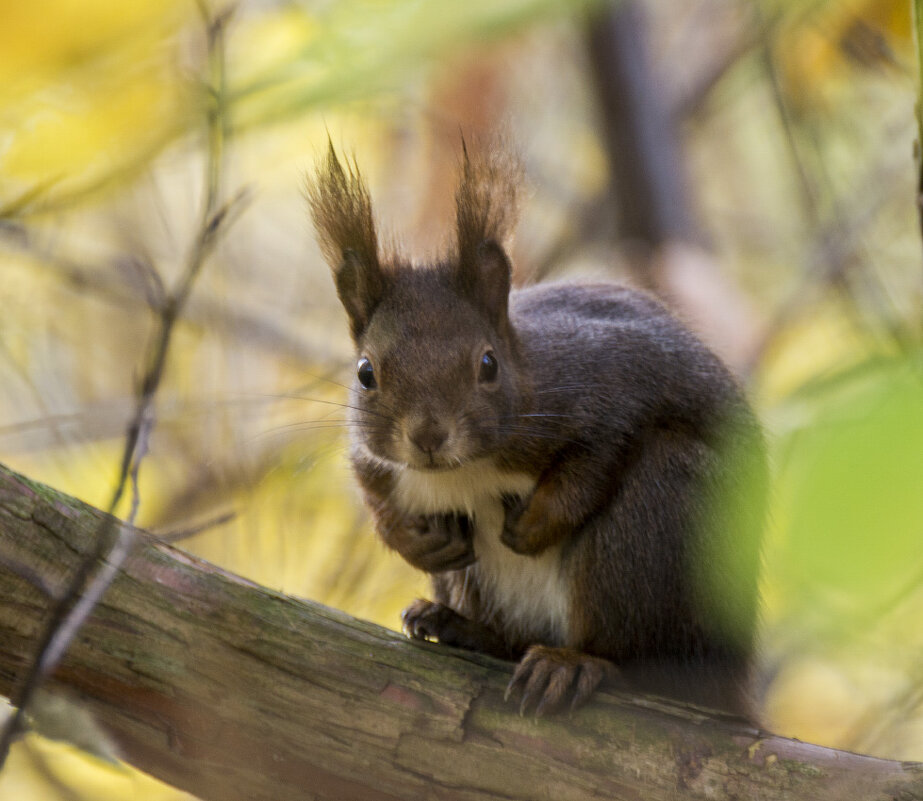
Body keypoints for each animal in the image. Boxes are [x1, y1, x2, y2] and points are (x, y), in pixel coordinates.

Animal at [306, 141, 768, 716]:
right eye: (365, 373)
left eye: (488, 364)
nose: (429, 437)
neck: (468, 469)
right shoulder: (376, 460)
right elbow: (374, 493)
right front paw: (412, 541)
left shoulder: (611, 379)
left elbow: (603, 451)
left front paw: (536, 523)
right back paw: (459, 627)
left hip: (665, 521)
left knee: (638, 657)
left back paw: (574, 663)